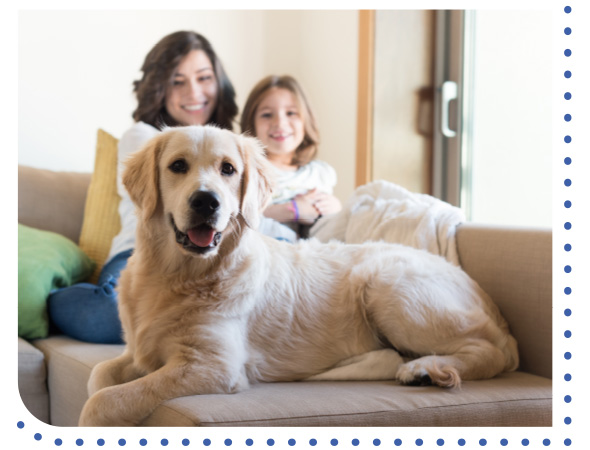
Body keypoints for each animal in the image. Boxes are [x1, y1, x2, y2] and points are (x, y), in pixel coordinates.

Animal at [80, 125, 520, 426]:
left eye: (227, 169)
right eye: (177, 166)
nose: (206, 202)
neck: (176, 275)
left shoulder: (214, 367)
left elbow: (104, 400)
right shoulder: (139, 351)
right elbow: (99, 376)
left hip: (387, 286)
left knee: (489, 352)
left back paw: (424, 368)